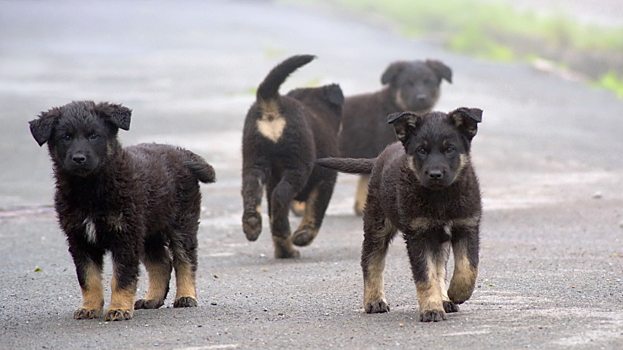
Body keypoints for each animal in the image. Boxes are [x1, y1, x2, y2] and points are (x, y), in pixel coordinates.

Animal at [29, 100, 217, 320]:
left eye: (94, 135)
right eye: (66, 137)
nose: (79, 158)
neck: (90, 189)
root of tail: (182, 153)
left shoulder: (125, 236)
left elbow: (122, 277)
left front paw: (119, 308)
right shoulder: (79, 239)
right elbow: (88, 278)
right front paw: (90, 307)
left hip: (181, 223)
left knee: (185, 260)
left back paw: (186, 296)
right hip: (149, 231)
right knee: (162, 263)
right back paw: (152, 299)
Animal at [241, 54, 344, 258]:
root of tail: (271, 102)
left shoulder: (271, 181)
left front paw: (284, 250)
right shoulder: (327, 179)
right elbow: (315, 211)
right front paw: (303, 236)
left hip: (254, 160)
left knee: (252, 189)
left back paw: (252, 224)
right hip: (297, 165)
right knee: (281, 195)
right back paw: (284, 232)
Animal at [316, 108, 482, 322]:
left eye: (449, 149)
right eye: (421, 150)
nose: (435, 174)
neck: (441, 197)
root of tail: (379, 157)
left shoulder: (467, 226)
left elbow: (467, 267)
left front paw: (456, 293)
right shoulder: (417, 234)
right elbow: (425, 276)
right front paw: (431, 309)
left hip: (437, 239)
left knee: (439, 268)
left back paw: (444, 298)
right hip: (377, 225)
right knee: (371, 261)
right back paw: (374, 300)